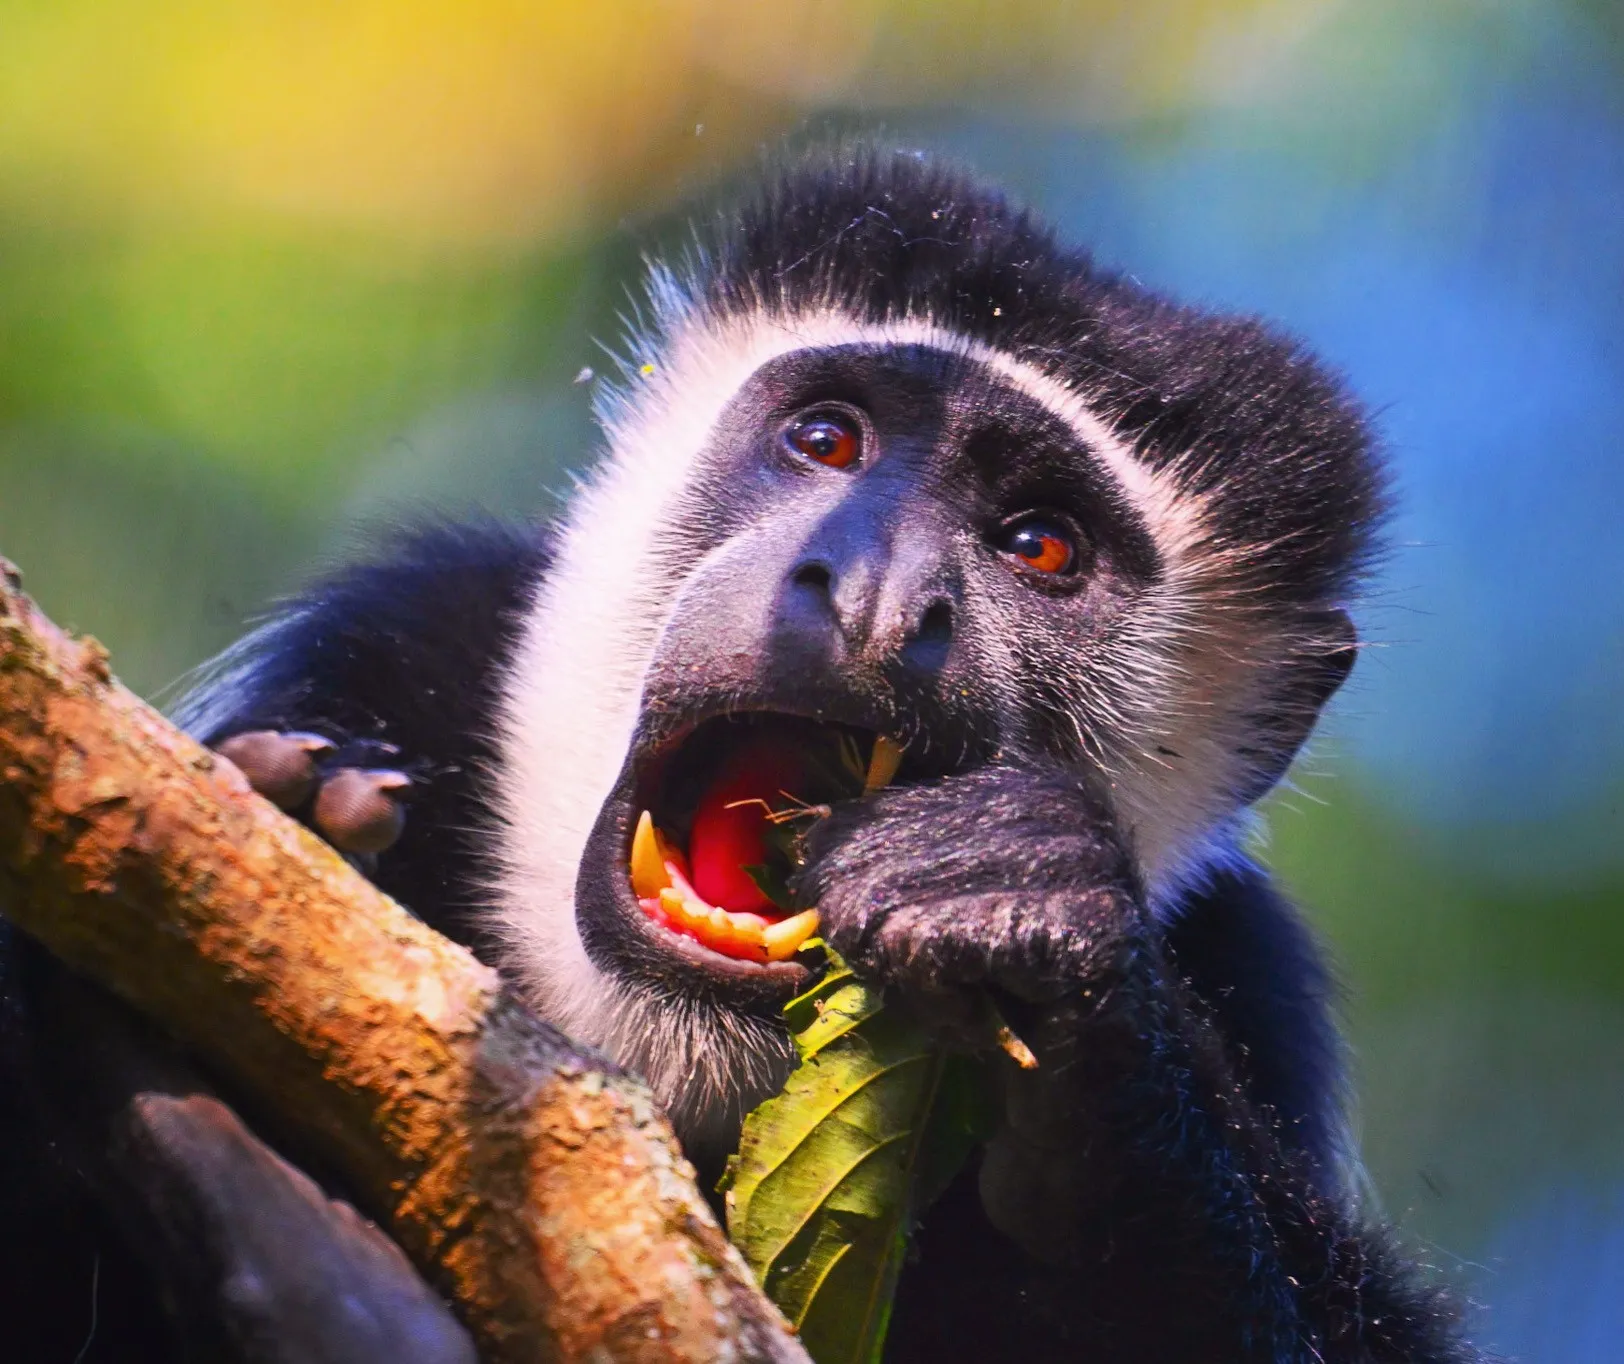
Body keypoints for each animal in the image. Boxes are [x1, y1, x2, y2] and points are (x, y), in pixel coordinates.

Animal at [0, 145, 1480, 1362]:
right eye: (826, 440)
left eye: (1041, 544)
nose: (877, 591)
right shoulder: (395, 640)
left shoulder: (1253, 976)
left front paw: (1030, 920)